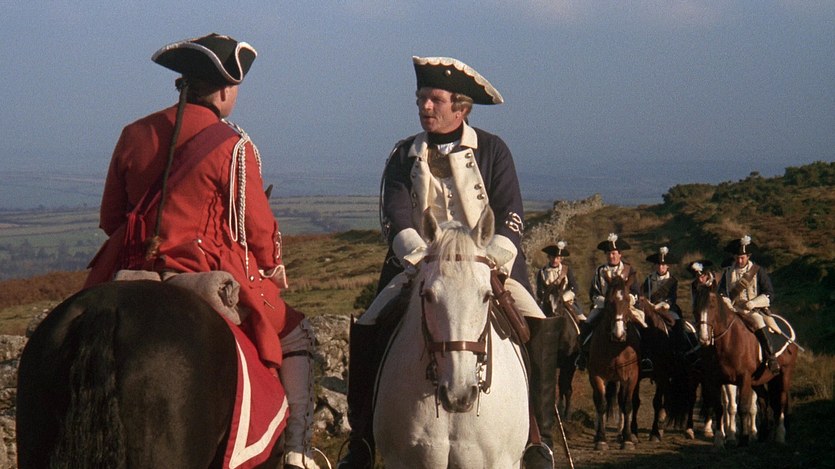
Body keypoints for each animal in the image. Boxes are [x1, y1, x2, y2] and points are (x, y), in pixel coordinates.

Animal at [587, 275, 641, 450]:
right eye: (609, 301)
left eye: (627, 300)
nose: (619, 334)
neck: (615, 346)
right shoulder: (596, 376)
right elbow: (602, 405)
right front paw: (601, 440)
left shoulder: (631, 377)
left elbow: (627, 405)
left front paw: (628, 439)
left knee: (621, 402)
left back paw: (621, 434)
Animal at [692, 283, 798, 449]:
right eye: (696, 306)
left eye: (712, 305)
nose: (703, 338)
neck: (728, 341)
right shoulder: (716, 380)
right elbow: (720, 407)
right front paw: (719, 439)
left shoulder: (744, 378)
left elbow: (743, 407)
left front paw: (743, 438)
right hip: (758, 381)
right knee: (764, 400)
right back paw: (762, 434)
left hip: (784, 374)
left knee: (780, 400)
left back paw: (780, 435)